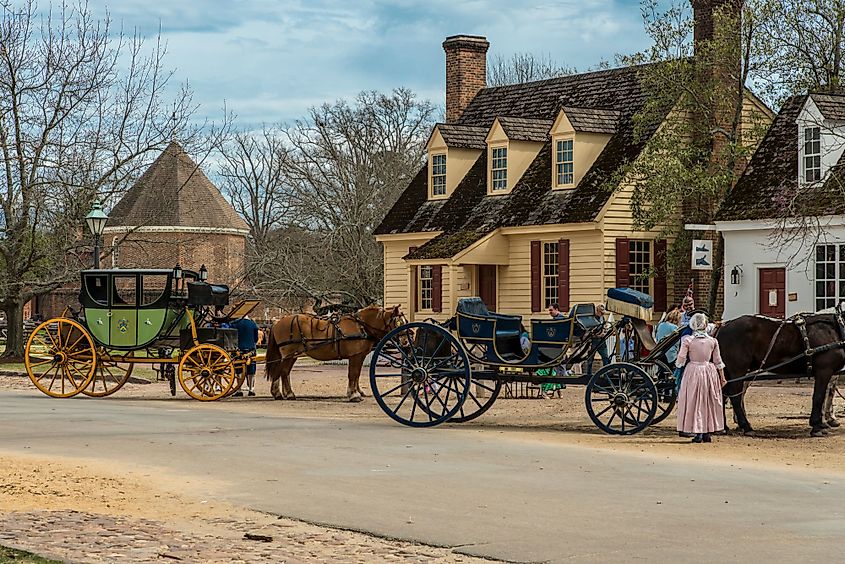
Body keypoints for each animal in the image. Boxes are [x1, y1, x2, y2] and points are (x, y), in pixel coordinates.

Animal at [268, 304, 406, 400]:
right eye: (399, 322)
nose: (405, 340)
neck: (361, 325)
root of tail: (278, 322)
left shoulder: (360, 356)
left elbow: (357, 375)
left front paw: (357, 392)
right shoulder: (355, 356)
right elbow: (353, 374)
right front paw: (353, 395)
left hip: (292, 355)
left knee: (282, 372)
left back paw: (280, 393)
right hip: (288, 354)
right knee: (282, 372)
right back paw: (286, 394)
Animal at [712, 312, 844, 436]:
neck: (834, 329)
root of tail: (723, 326)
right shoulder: (824, 370)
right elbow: (818, 397)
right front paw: (816, 426)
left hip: (728, 372)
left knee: (723, 395)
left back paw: (723, 427)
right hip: (738, 371)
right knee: (735, 396)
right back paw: (746, 427)